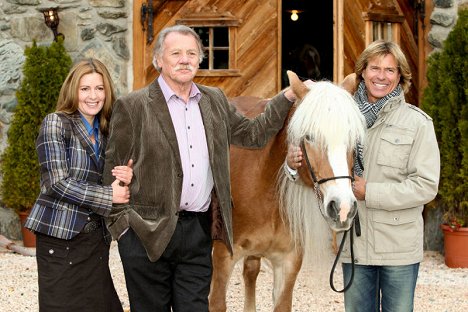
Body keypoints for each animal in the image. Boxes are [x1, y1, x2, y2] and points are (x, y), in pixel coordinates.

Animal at [210, 72, 368, 310]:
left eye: (353, 138)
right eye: (309, 136)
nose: (343, 208)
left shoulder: (287, 262)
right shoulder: (222, 258)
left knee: (250, 272)